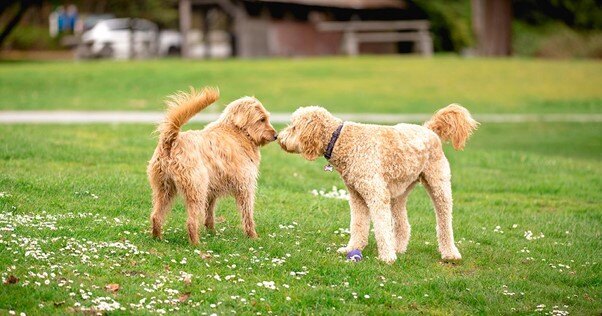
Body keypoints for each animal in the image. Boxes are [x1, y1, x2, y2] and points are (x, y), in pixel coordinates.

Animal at [148, 87, 276, 244]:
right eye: (262, 119)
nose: (276, 135)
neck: (237, 132)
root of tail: (171, 140)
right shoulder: (245, 186)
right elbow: (247, 215)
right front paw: (253, 236)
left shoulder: (212, 192)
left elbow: (209, 214)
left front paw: (212, 233)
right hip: (196, 189)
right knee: (191, 221)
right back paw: (196, 243)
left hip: (164, 189)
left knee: (156, 216)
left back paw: (158, 238)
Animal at [278, 105, 478, 262]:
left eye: (294, 127)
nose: (279, 138)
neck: (341, 140)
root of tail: (429, 129)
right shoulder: (357, 196)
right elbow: (358, 225)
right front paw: (352, 248)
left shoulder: (376, 194)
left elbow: (381, 227)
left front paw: (387, 257)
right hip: (399, 192)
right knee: (403, 224)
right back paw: (399, 248)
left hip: (438, 185)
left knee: (445, 221)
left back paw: (450, 253)